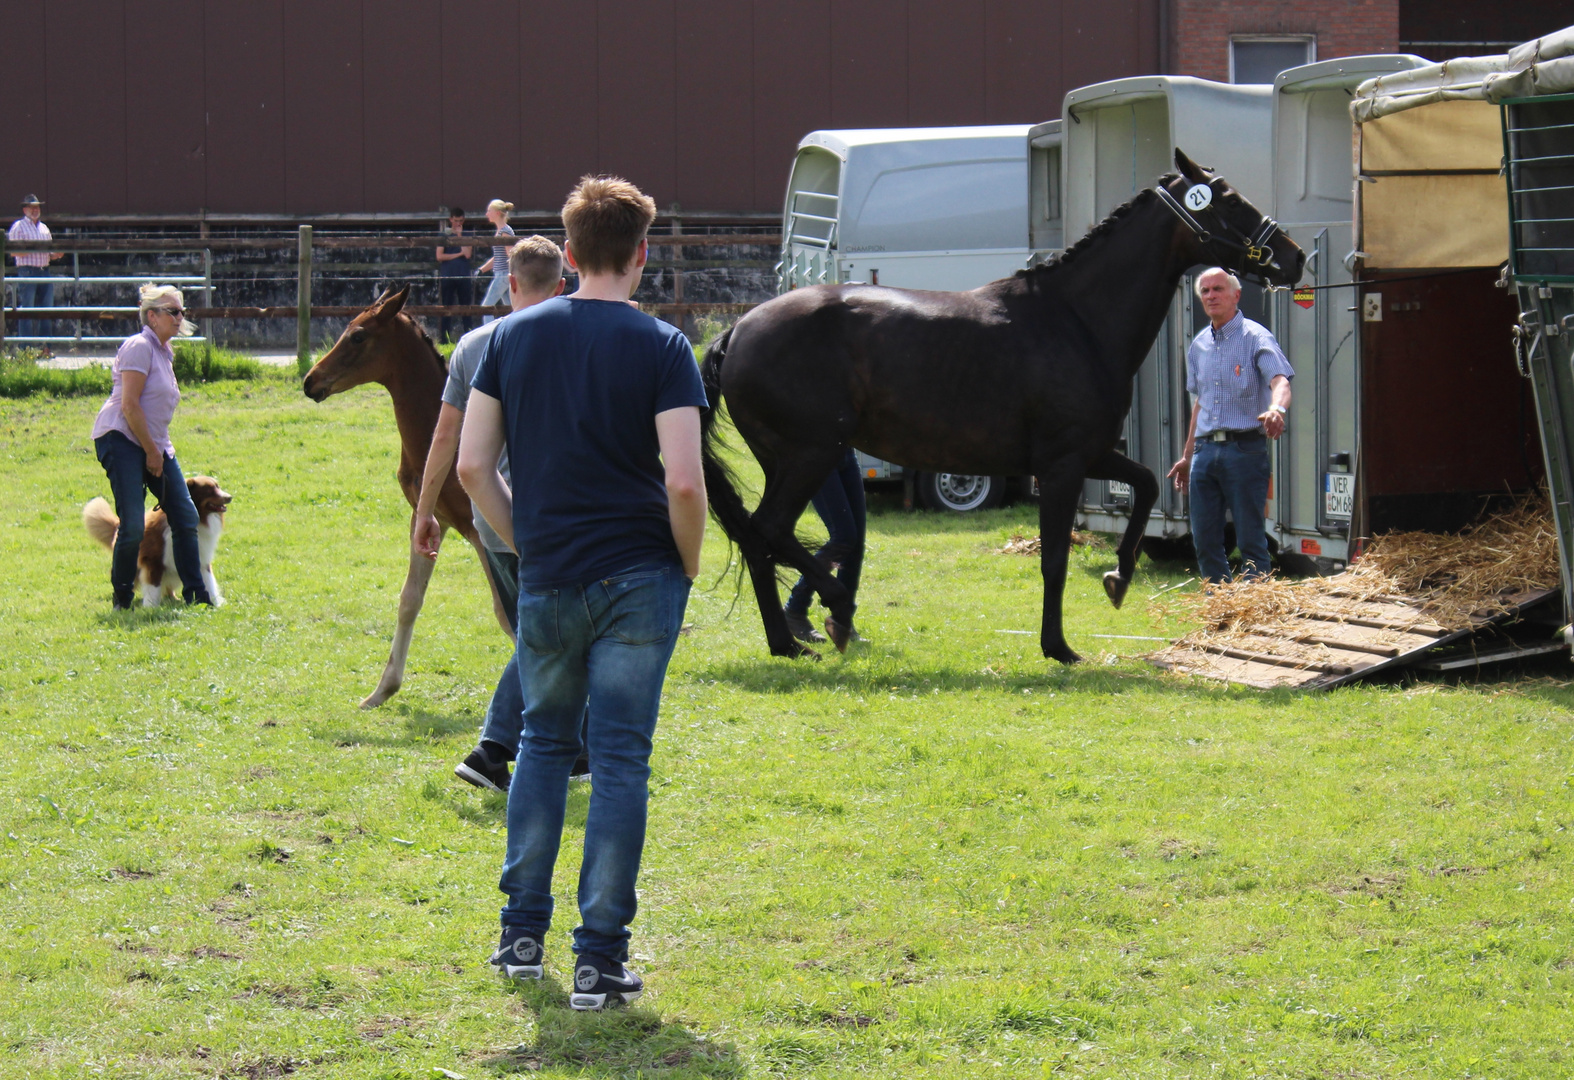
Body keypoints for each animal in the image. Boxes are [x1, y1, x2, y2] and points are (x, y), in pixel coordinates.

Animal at [84, 475, 232, 610]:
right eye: (209, 490)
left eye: (218, 487)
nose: (230, 497)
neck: (200, 518)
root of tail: (117, 526)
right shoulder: (153, 561)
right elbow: (153, 587)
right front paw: (151, 609)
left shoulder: (201, 559)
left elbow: (209, 582)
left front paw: (214, 602)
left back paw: (174, 598)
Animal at [303, 284, 506, 711]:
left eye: (358, 336)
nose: (310, 381)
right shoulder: (427, 519)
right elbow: (409, 599)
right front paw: (382, 689)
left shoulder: (481, 532)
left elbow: (505, 610)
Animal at [702, 148, 1303, 664]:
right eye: (1230, 199)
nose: (1295, 257)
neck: (1076, 320)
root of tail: (738, 330)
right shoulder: (1062, 466)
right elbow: (1055, 559)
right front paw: (1058, 647)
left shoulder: (1087, 454)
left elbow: (1149, 484)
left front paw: (1118, 579)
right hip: (810, 455)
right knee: (770, 531)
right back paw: (836, 612)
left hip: (787, 460)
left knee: (760, 539)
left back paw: (788, 642)